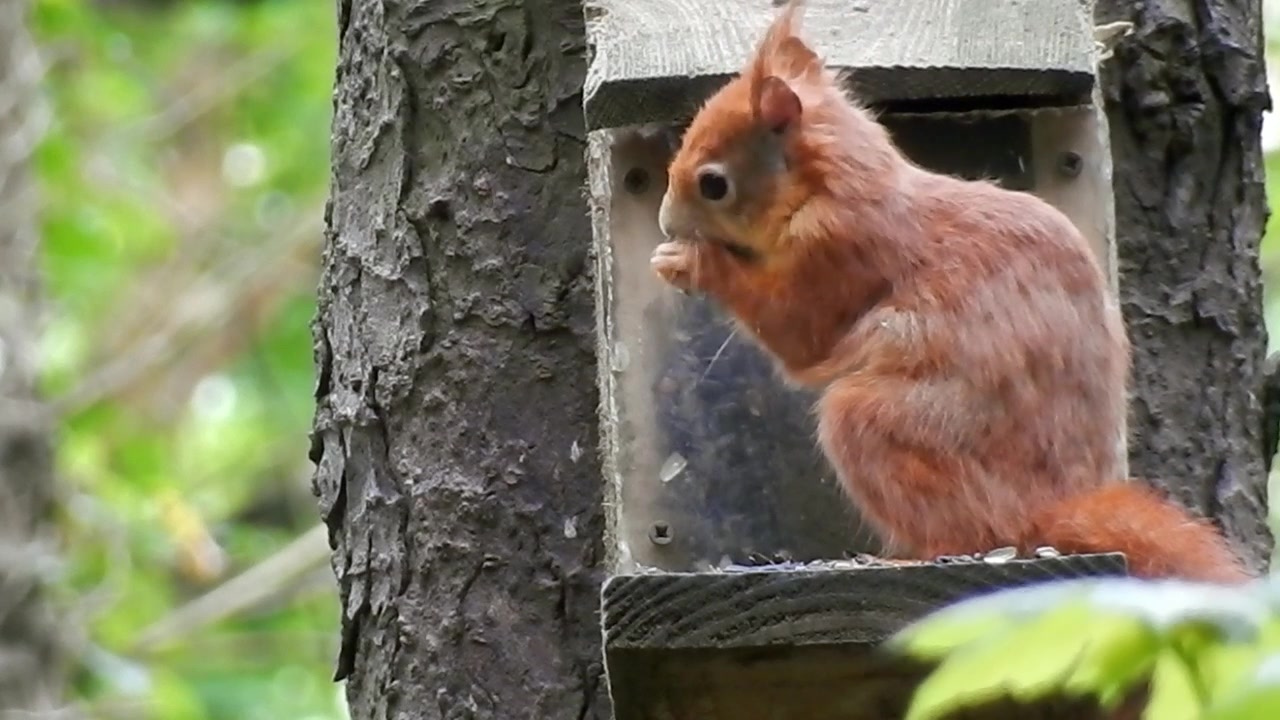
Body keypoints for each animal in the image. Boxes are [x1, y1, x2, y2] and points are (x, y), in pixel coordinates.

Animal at [650, 0, 1252, 584]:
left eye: (713, 184)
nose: (663, 222)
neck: (835, 186)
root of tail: (1046, 512)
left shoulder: (841, 253)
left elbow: (800, 332)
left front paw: (691, 264)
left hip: (893, 428)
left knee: (969, 532)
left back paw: (905, 558)